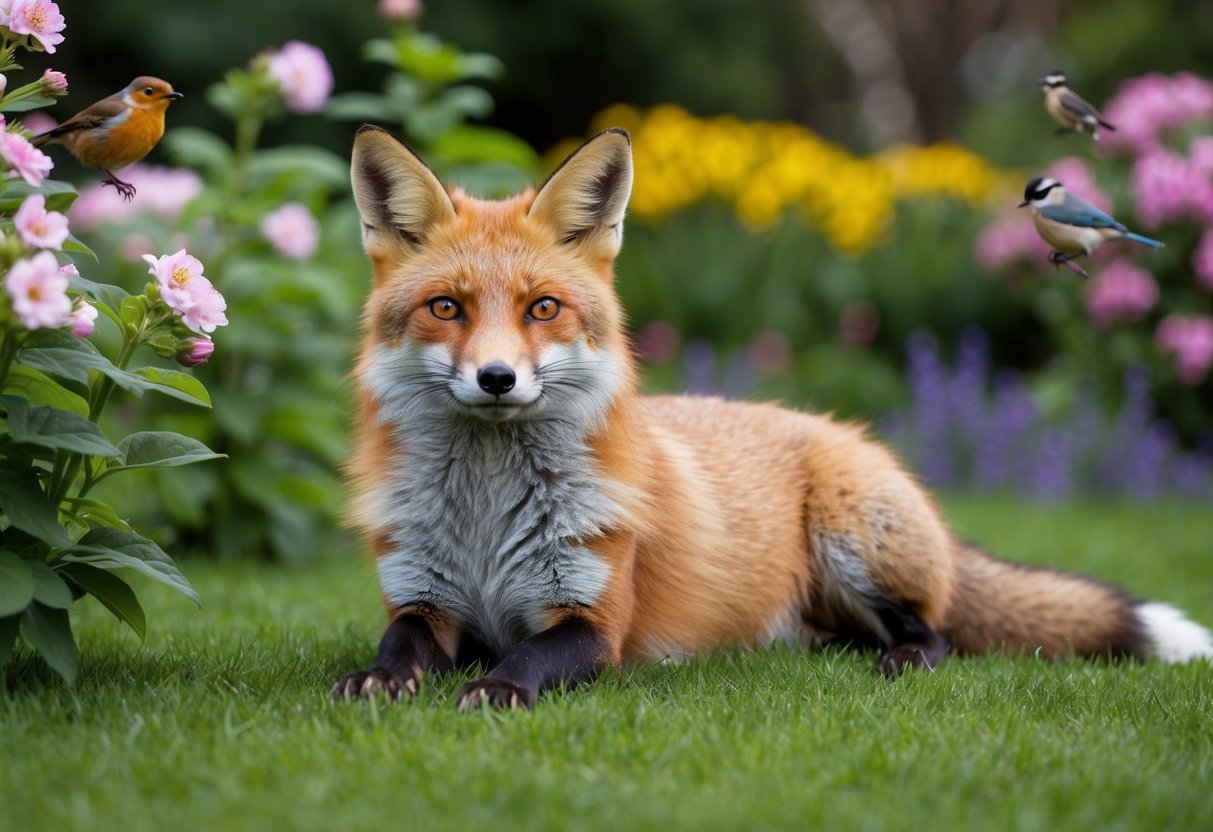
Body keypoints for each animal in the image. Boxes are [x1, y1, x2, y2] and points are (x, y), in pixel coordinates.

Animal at [332, 125, 1213, 710]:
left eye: (541, 307)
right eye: (446, 307)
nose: (496, 378)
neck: (484, 519)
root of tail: (830, 426)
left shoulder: (592, 618)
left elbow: (528, 662)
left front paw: (493, 690)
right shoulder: (423, 599)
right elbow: (399, 647)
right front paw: (378, 678)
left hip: (855, 547)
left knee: (934, 634)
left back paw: (900, 661)